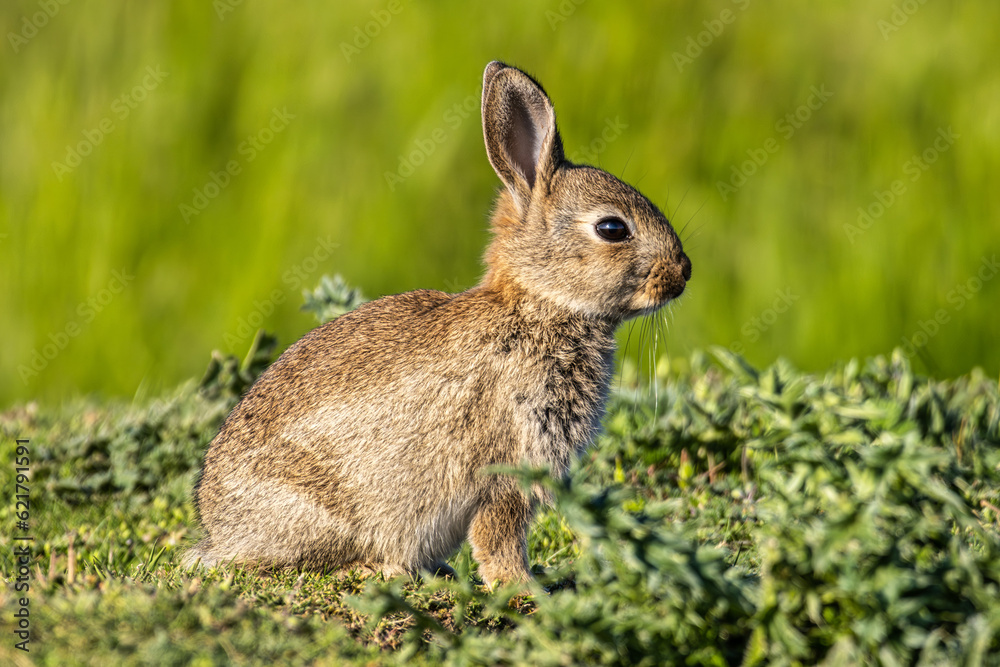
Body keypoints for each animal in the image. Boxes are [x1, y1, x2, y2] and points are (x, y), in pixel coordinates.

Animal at [185, 61, 692, 586]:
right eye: (612, 229)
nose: (683, 273)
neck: (538, 306)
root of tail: (219, 530)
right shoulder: (509, 460)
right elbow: (499, 534)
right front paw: (522, 586)